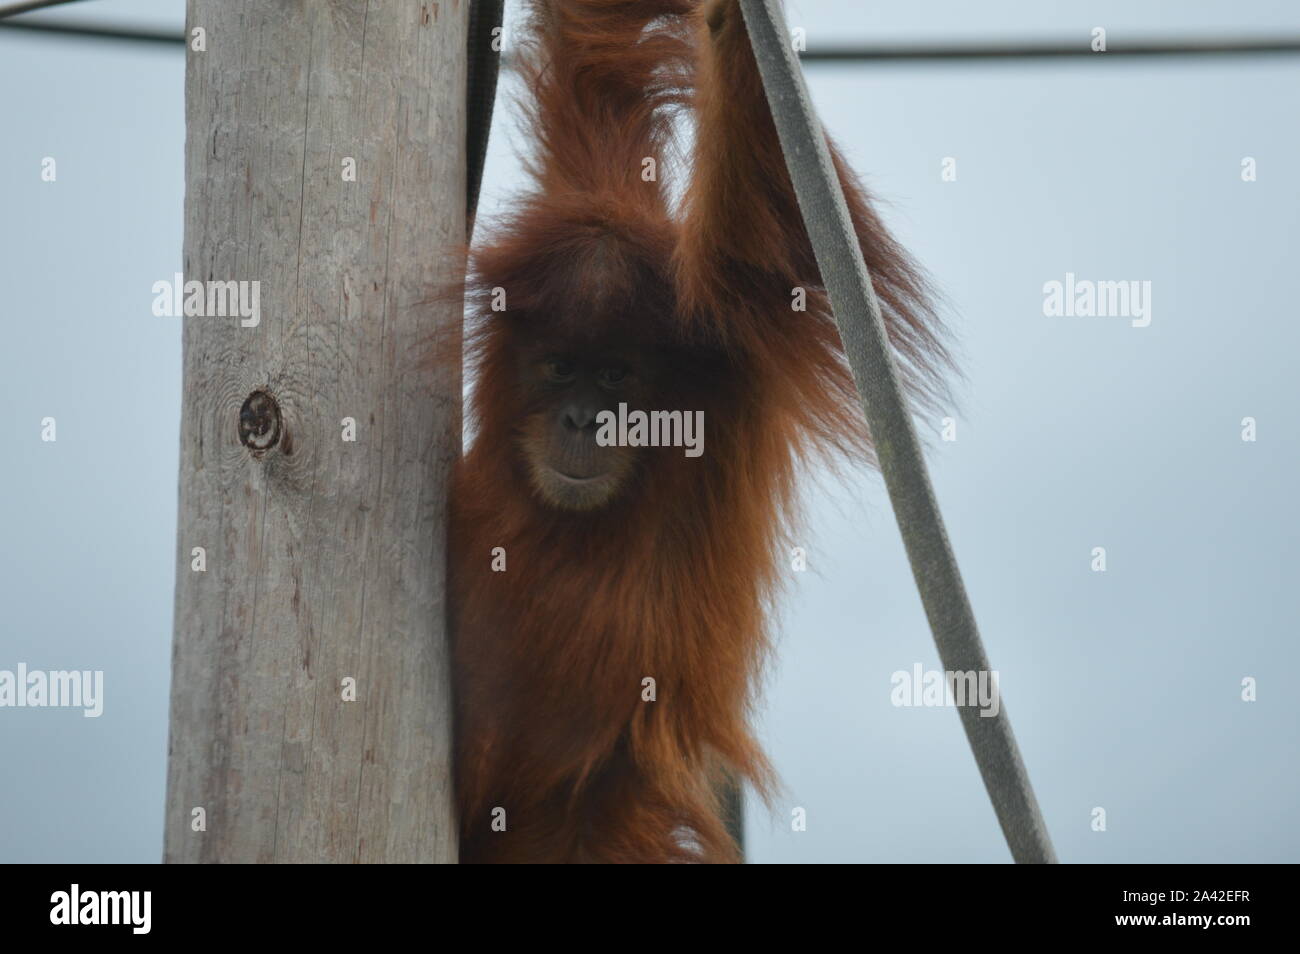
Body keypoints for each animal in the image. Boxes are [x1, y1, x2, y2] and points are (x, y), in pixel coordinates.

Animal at [448, 0, 950, 863]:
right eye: (559, 368)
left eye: (616, 377)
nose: (583, 418)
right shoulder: (596, 190)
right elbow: (600, 69)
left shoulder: (732, 336)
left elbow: (770, 224)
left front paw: (736, 24)